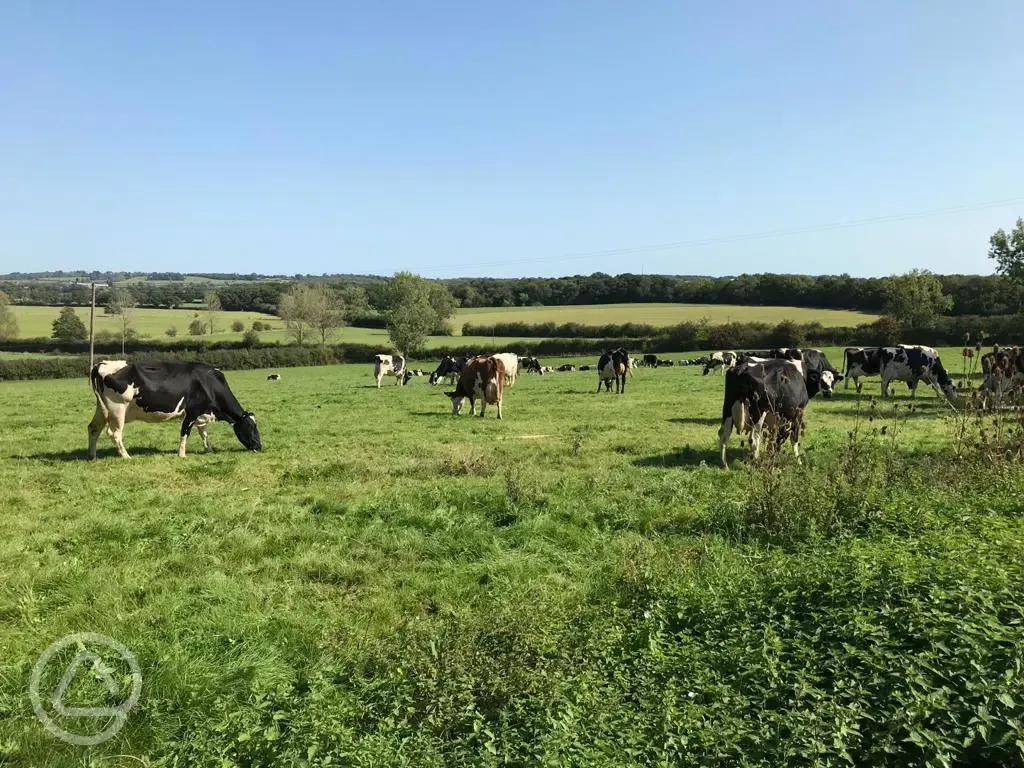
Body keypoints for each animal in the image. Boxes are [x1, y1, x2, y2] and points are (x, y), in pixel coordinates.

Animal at [88, 360, 262, 460]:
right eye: (250, 427)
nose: (259, 446)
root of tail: (102, 364)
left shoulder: (202, 414)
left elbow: (204, 433)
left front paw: (209, 449)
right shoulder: (191, 413)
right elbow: (185, 433)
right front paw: (182, 455)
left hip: (102, 409)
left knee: (93, 429)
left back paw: (92, 456)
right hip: (117, 410)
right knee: (114, 433)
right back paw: (126, 456)